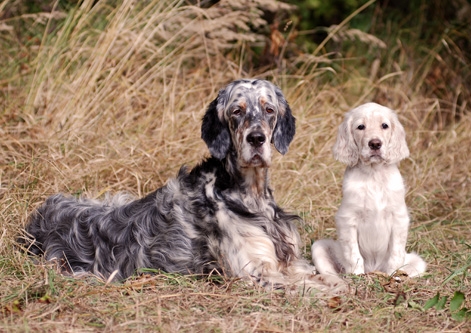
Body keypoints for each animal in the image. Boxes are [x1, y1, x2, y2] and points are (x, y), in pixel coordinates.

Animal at [22, 78, 344, 290]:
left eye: (268, 110)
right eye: (237, 111)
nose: (256, 139)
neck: (248, 195)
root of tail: (38, 218)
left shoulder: (291, 262)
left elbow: (325, 275)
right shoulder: (256, 273)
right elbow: (323, 285)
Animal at [314, 102, 428, 276]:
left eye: (384, 125)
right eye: (360, 126)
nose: (375, 143)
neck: (374, 175)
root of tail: (374, 269)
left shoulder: (399, 218)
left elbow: (395, 253)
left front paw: (392, 275)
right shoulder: (347, 218)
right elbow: (353, 253)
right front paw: (357, 275)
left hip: (417, 262)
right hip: (318, 248)